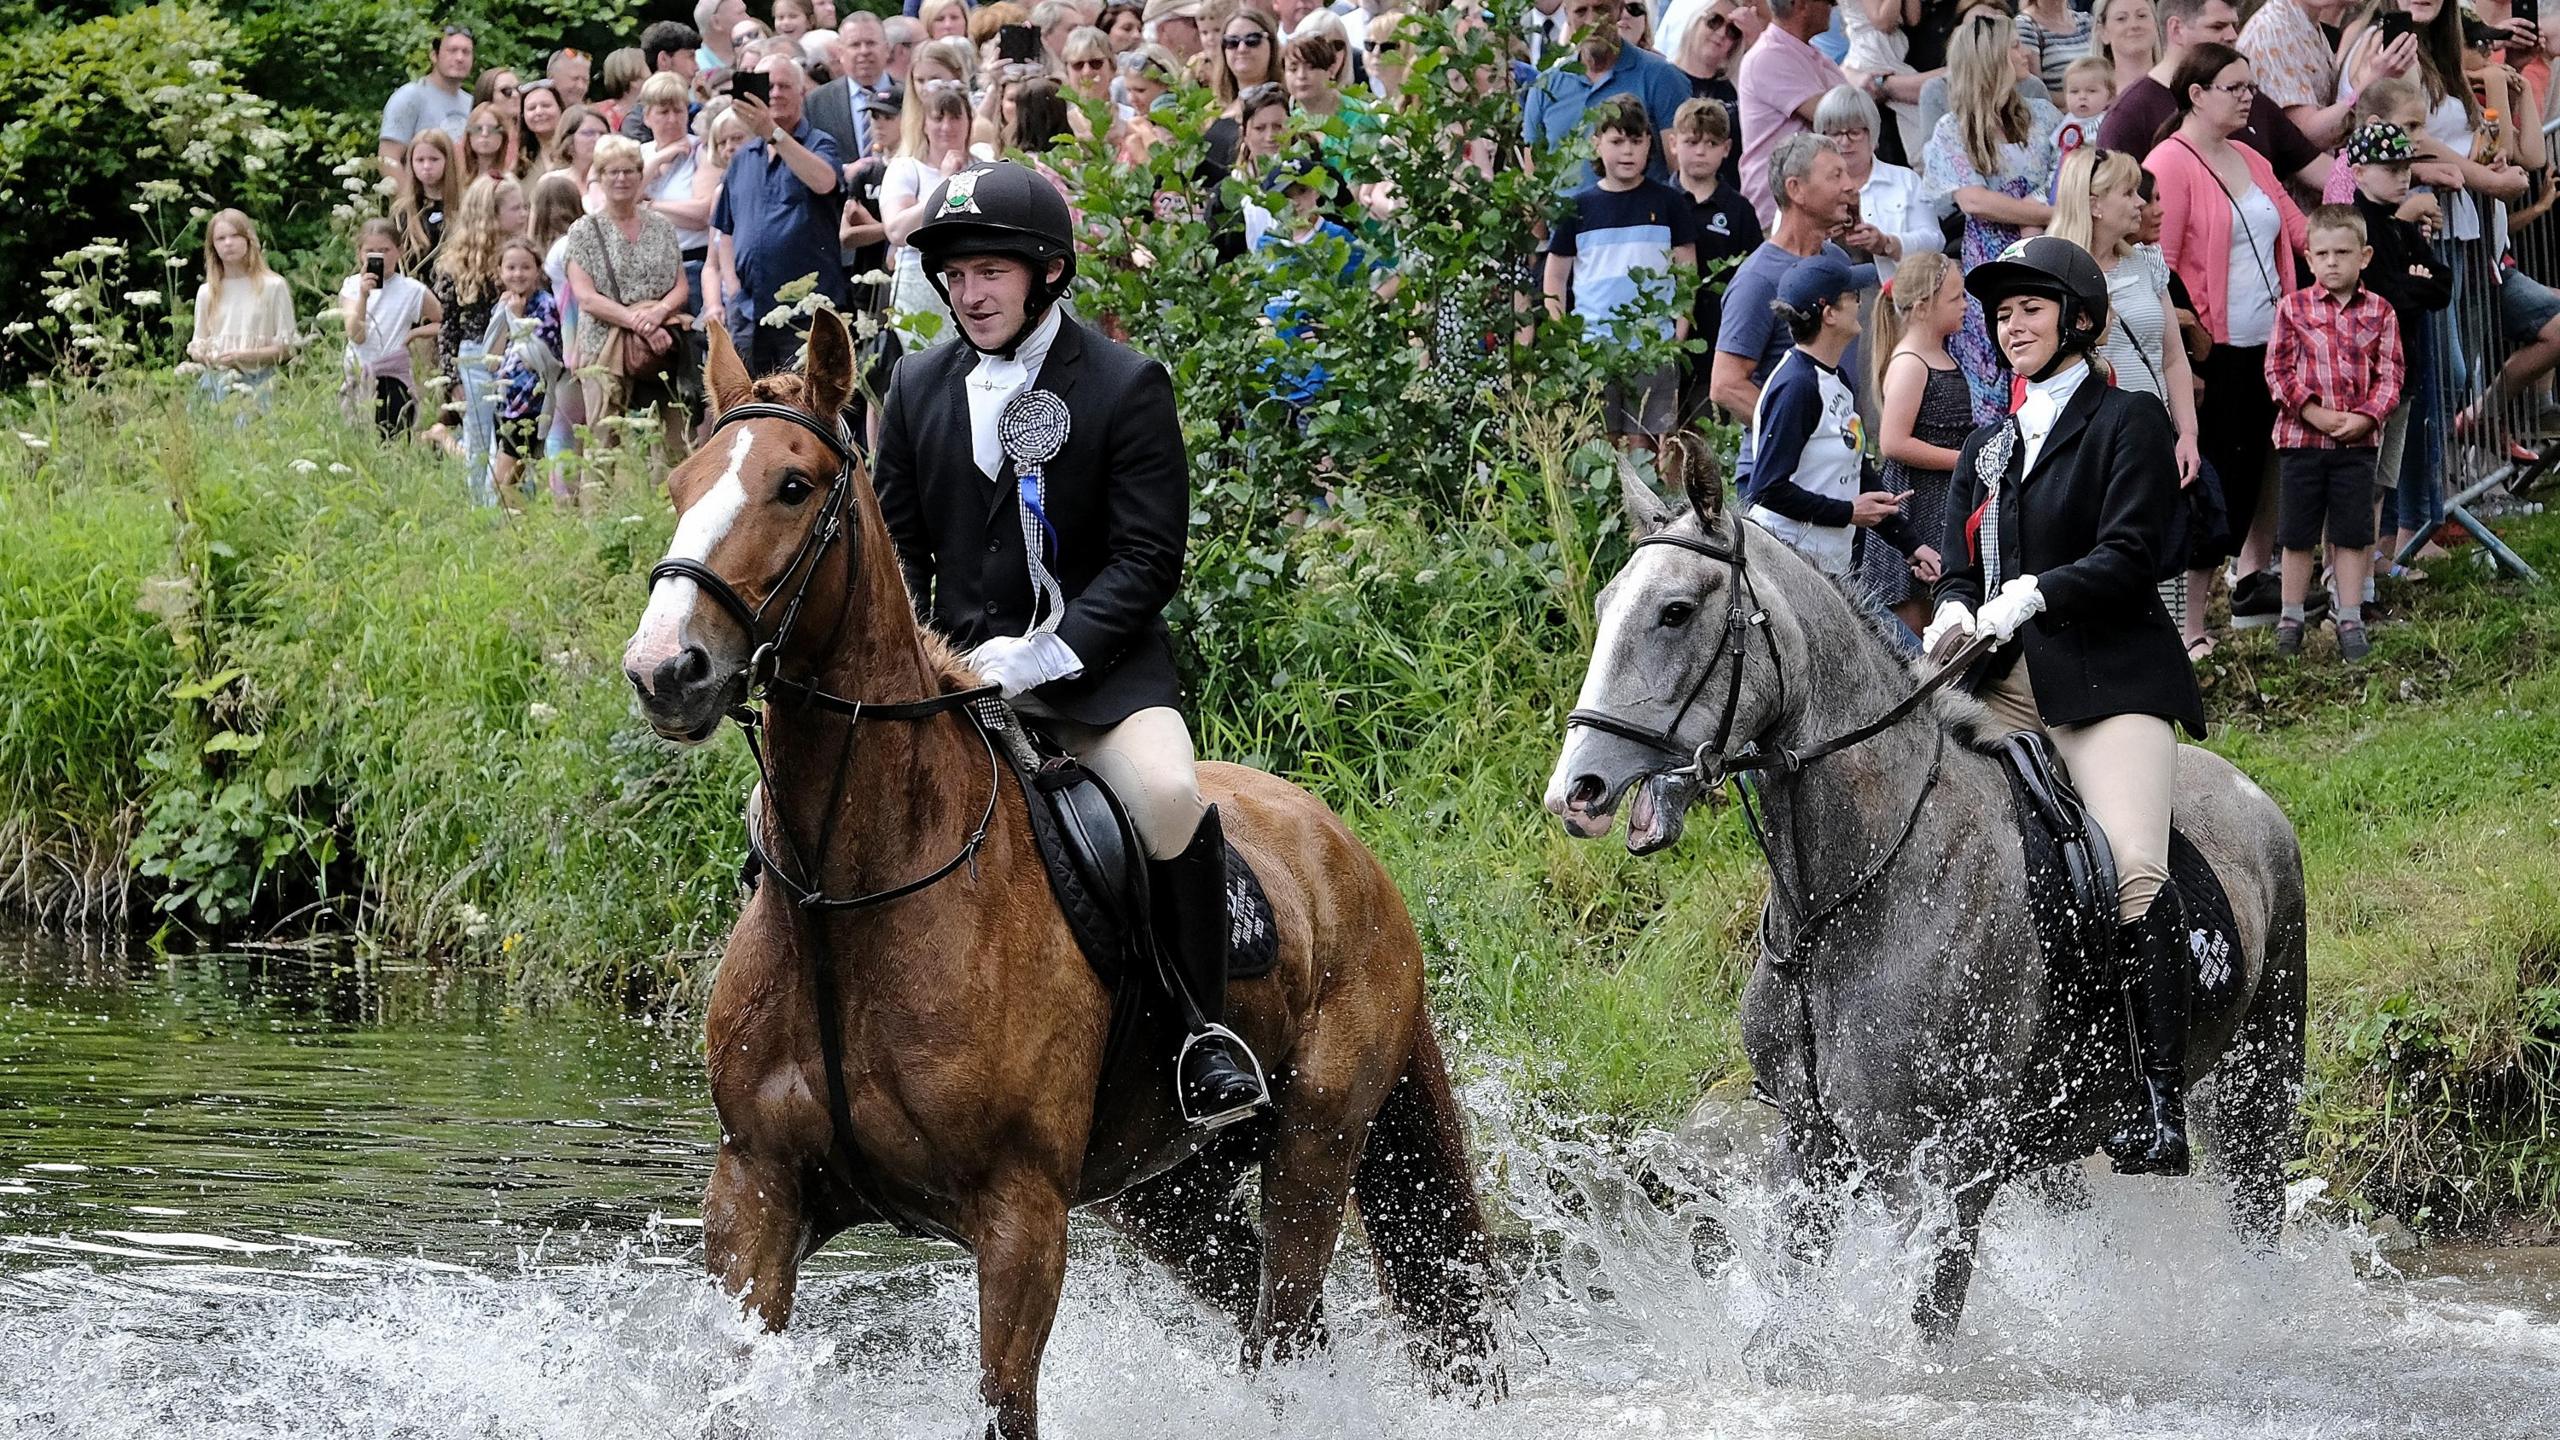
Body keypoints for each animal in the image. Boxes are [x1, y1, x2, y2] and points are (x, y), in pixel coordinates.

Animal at [624, 308, 1495, 1424]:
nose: (664, 670)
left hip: (1315, 1146)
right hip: (1169, 1198)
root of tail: (1351, 853)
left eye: (792, 485)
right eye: (681, 485)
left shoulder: (1020, 1218)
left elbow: (1007, 1402)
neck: (851, 894)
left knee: (1289, 1325)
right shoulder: (754, 1194)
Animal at [1546, 443, 2314, 1342]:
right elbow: (1784, 1328)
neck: (1842, 907)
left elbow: (1922, 1334)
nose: (1576, 793)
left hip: (2260, 1088)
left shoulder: (1952, 1172)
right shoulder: (1808, 1144)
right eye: (1607, 608)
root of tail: (2250, 793)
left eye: (1673, 612)